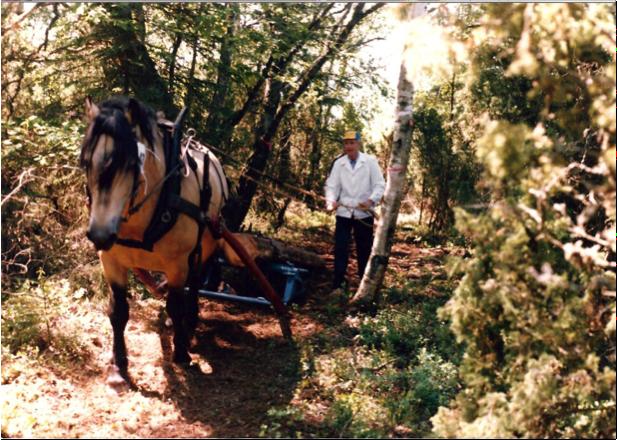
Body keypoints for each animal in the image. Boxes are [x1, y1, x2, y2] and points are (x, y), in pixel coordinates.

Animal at [80, 97, 290, 388]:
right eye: (86, 162)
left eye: (131, 164)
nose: (100, 234)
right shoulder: (111, 261)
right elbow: (119, 312)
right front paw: (118, 367)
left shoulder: (178, 264)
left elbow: (175, 303)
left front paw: (180, 351)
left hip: (206, 246)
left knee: (194, 285)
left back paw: (189, 321)